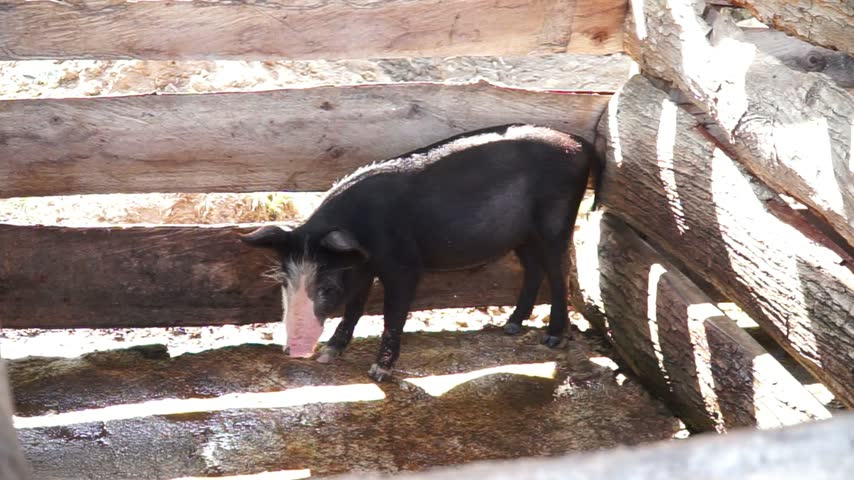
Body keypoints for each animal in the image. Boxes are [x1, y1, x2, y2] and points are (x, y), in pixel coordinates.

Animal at [241, 124, 602, 381]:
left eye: (327, 288)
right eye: (285, 283)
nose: (294, 351)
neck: (363, 230)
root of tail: (580, 143)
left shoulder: (405, 267)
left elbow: (393, 315)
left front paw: (379, 373)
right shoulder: (362, 268)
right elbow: (354, 308)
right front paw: (329, 354)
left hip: (556, 221)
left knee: (558, 271)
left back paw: (553, 339)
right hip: (521, 235)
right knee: (533, 268)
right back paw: (510, 327)